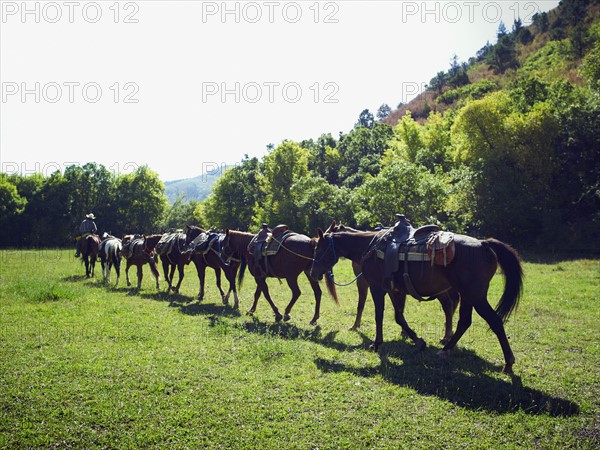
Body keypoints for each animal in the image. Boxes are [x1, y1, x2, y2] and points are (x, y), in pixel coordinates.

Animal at [328, 222, 460, 344]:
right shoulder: (393, 288)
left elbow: (361, 304)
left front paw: (355, 326)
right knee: (452, 303)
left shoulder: (365, 283)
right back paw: (448, 333)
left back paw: (446, 336)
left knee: (448, 305)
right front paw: (405, 333)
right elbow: (399, 309)